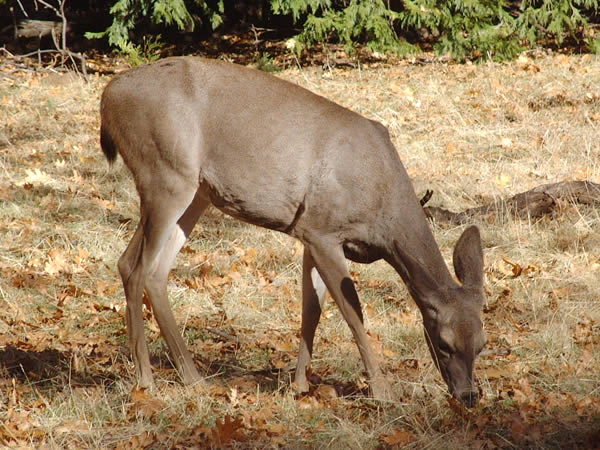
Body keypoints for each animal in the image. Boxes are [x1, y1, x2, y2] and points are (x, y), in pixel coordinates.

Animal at [101, 56, 488, 408]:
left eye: (482, 345)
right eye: (443, 342)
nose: (468, 396)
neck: (383, 207)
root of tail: (108, 95)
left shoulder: (310, 233)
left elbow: (312, 309)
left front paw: (300, 385)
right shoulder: (321, 229)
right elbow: (352, 312)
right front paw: (383, 391)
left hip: (196, 191)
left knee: (150, 270)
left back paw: (193, 377)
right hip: (163, 174)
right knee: (134, 267)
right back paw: (146, 380)